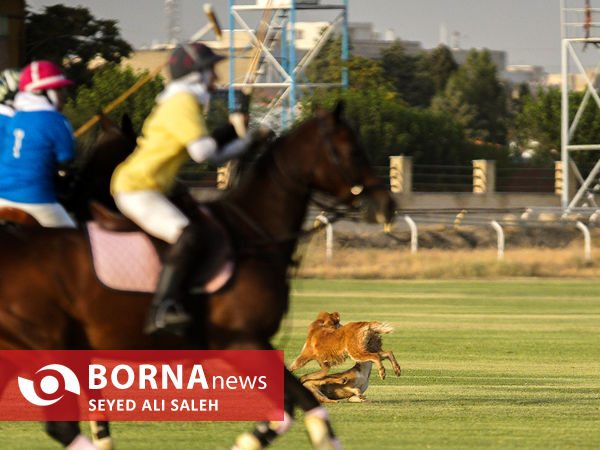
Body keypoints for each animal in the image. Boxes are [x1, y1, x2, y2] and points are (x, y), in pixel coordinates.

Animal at [0, 103, 394, 450]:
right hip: (47, 344)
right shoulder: (240, 339)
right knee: (61, 425)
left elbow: (294, 409)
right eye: (352, 150)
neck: (252, 232)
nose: (386, 206)